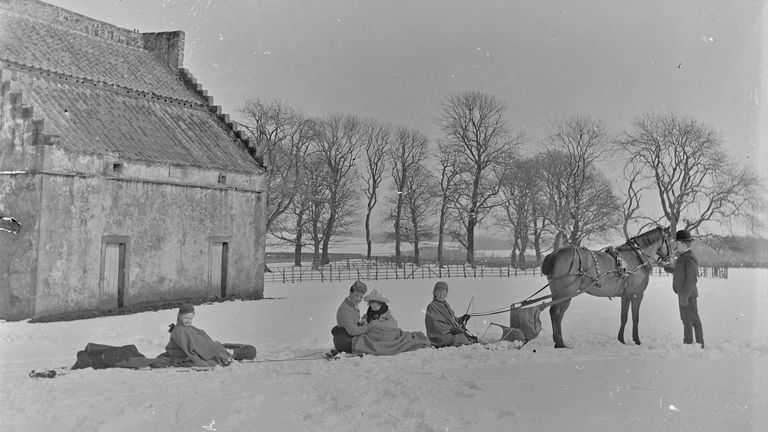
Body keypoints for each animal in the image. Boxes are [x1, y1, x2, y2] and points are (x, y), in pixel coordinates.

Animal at [540, 228, 672, 350]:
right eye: (670, 240)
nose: (670, 259)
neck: (638, 256)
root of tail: (555, 253)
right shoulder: (637, 294)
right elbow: (635, 318)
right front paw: (636, 340)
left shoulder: (626, 295)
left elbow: (624, 317)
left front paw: (621, 339)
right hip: (566, 293)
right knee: (558, 313)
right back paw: (560, 342)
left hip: (557, 293)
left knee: (552, 312)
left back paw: (556, 340)